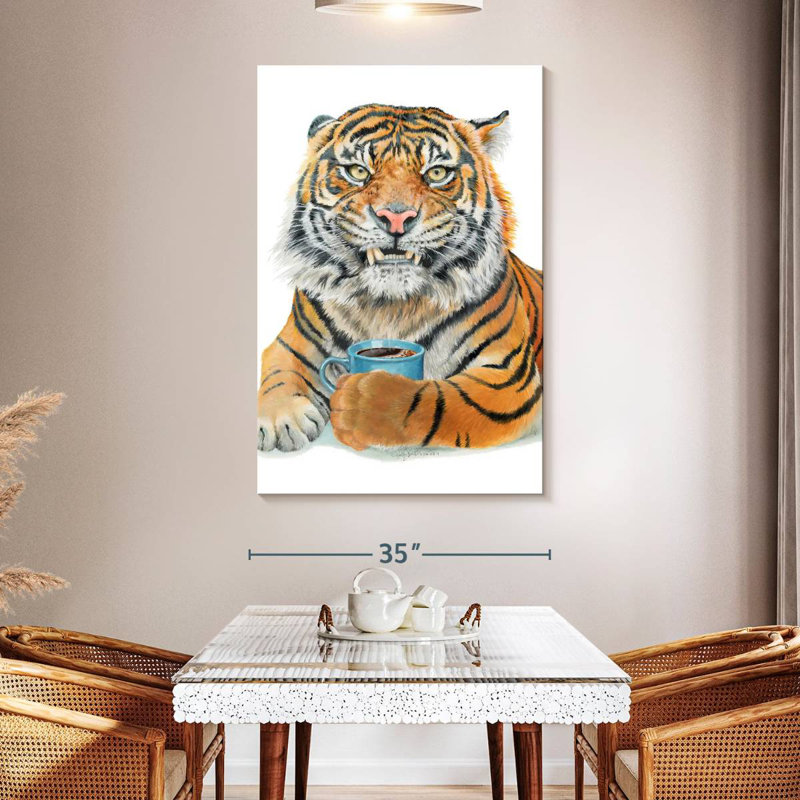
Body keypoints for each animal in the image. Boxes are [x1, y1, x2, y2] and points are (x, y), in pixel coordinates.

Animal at [258, 103, 542, 453]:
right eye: (358, 171)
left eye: (437, 173)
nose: (395, 217)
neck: (389, 305)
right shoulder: (291, 342)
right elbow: (279, 371)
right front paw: (280, 420)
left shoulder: (507, 375)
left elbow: (433, 400)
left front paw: (361, 403)